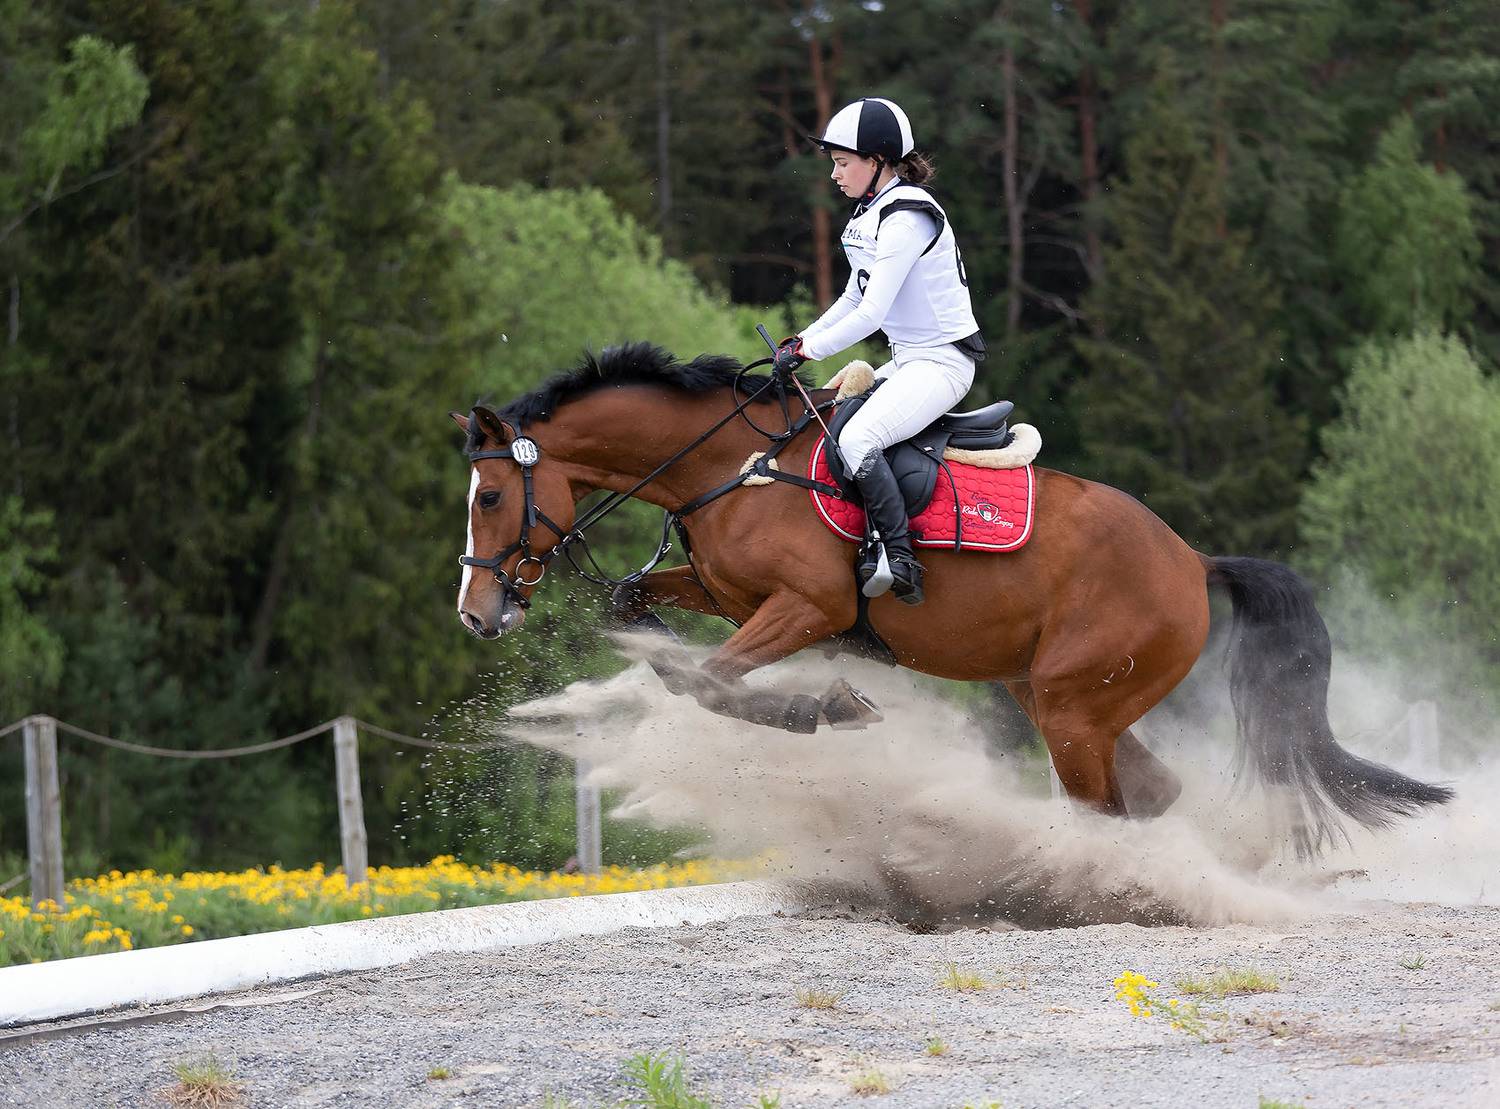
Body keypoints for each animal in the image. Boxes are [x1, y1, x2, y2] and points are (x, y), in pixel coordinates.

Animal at [452, 342, 1451, 855]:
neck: (727, 465)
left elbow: (711, 683)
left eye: (491, 496)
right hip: (1054, 693)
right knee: (1152, 791)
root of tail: (1190, 557)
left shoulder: (807, 608)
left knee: (1104, 805)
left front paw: (829, 705)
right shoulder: (728, 593)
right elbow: (643, 620)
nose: (476, 611)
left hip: (1072, 707)